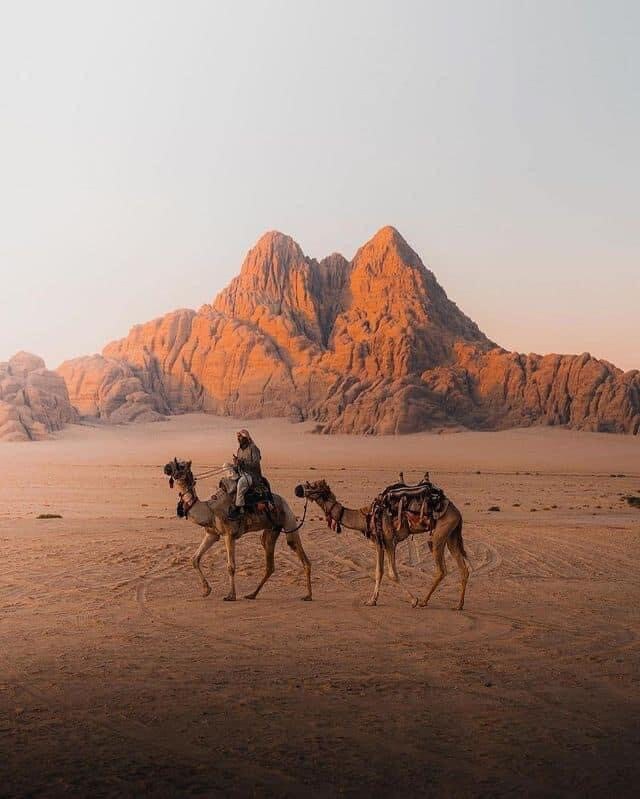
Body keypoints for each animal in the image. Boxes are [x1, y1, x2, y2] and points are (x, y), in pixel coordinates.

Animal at [164, 460, 312, 604]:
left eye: (180, 465)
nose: (166, 467)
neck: (209, 510)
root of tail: (284, 501)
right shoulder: (212, 534)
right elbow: (194, 559)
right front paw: (206, 590)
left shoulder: (229, 534)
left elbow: (231, 567)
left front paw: (231, 595)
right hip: (272, 529)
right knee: (269, 562)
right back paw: (252, 594)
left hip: (288, 518)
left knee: (298, 550)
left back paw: (308, 595)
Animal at [292, 478, 468, 608]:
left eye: (312, 486)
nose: (297, 489)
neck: (365, 517)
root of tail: (457, 512)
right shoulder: (379, 542)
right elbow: (378, 572)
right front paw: (372, 600)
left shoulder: (389, 540)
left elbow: (391, 573)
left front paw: (413, 600)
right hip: (451, 535)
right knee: (463, 568)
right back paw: (459, 605)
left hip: (439, 535)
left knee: (441, 569)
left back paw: (424, 601)